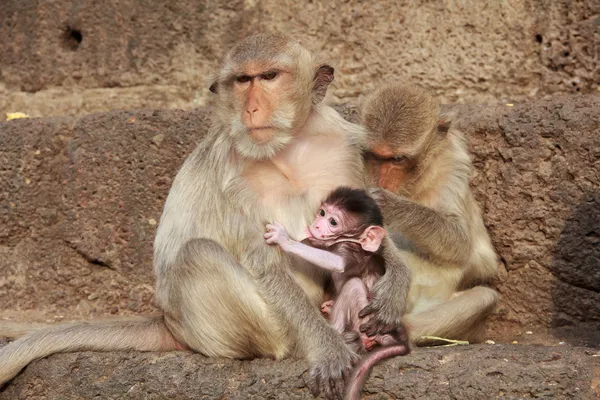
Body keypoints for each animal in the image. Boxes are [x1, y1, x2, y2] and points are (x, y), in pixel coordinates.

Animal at [0, 32, 410, 398]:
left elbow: (371, 222)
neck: (287, 149)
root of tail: (171, 323)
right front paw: (327, 349)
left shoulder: (342, 147)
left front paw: (395, 284)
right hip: (250, 327)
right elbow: (264, 261)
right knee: (199, 253)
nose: (251, 108)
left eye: (268, 76)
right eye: (242, 80)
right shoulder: (232, 173)